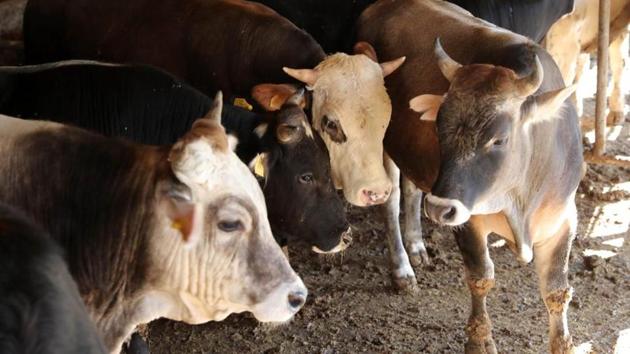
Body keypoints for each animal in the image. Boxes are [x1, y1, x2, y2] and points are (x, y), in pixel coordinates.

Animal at [358, 1, 584, 352]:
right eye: (439, 127)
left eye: (499, 139)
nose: (438, 208)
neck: (519, 202)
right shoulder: (467, 219)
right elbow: (480, 278)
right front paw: (479, 341)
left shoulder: (563, 219)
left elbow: (557, 290)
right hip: (383, 143)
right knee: (390, 199)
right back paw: (402, 269)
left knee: (412, 189)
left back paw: (417, 245)